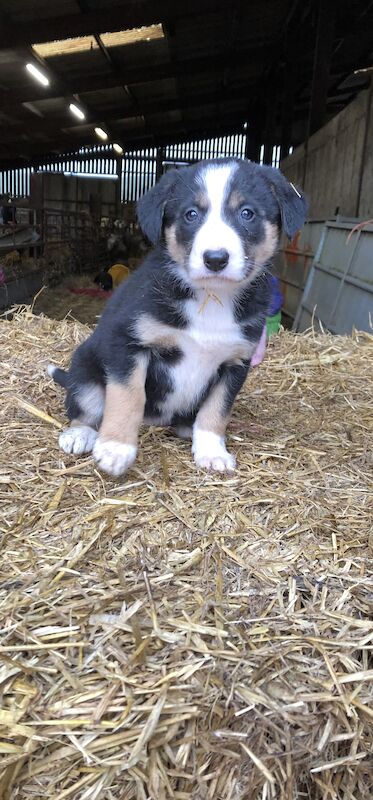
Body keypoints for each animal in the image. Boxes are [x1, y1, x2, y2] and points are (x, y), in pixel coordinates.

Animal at [48, 159, 306, 478]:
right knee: (84, 406)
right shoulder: (128, 342)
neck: (211, 297)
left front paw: (211, 450)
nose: (215, 259)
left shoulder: (236, 362)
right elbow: (128, 396)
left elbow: (217, 410)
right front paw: (116, 448)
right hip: (85, 368)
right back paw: (79, 434)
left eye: (247, 213)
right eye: (191, 214)